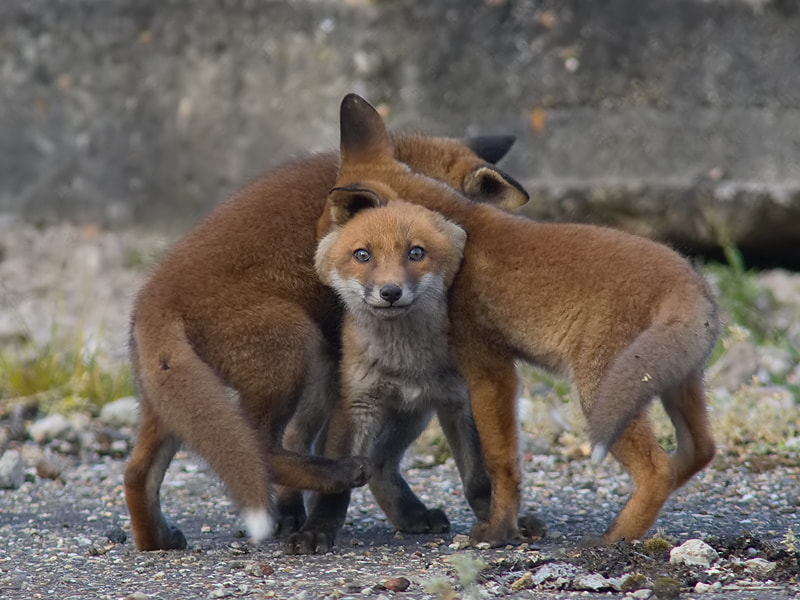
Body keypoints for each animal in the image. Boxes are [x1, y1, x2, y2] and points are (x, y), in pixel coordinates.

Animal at [123, 122, 531, 550]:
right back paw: (337, 475)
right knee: (263, 446)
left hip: (175, 399)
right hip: (295, 348)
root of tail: (155, 295)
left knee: (137, 473)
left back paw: (156, 540)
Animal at [290, 93, 721, 550]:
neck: (462, 233)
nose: (316, 263)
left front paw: (498, 531)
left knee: (658, 471)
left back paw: (613, 539)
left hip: (600, 390)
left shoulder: (488, 368)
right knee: (700, 452)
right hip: (676, 383)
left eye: (329, 219)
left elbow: (499, 462)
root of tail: (692, 281)